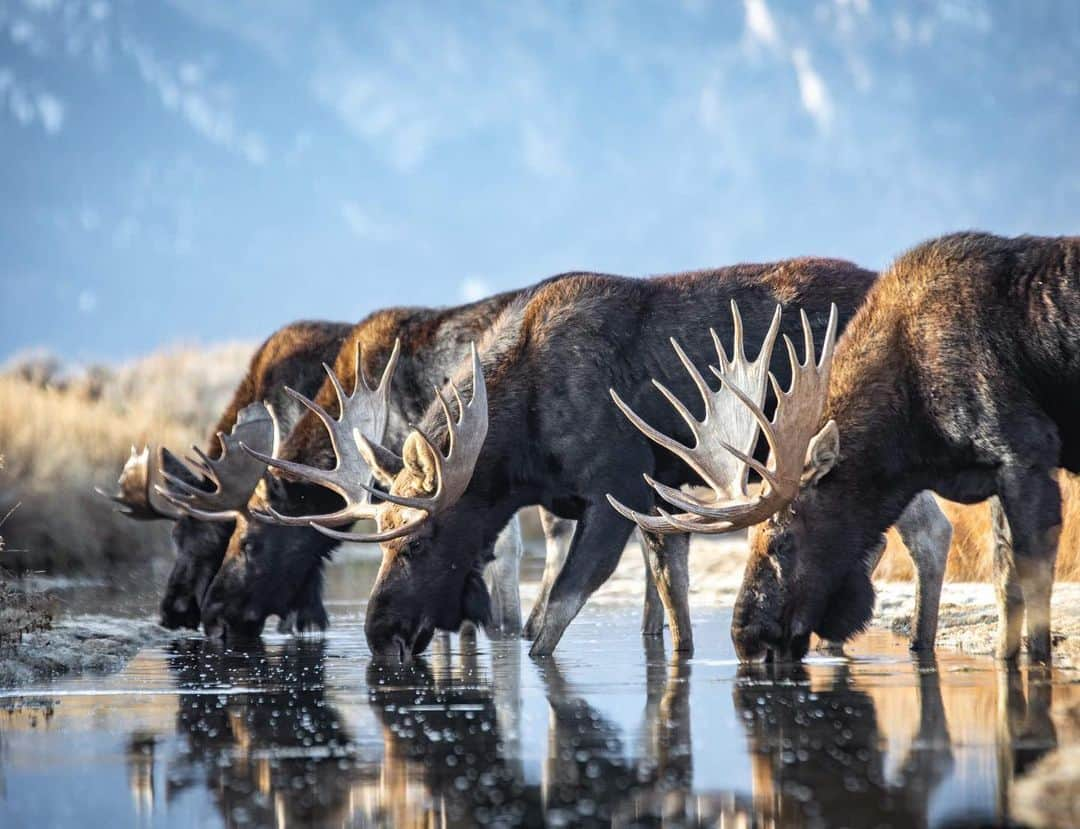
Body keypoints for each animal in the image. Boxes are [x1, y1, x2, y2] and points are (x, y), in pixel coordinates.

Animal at [252, 259, 954, 660]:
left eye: (419, 544)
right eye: (381, 541)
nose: (378, 632)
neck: (518, 448)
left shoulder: (614, 492)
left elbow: (548, 624)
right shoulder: (639, 502)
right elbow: (668, 601)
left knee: (929, 531)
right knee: (924, 529)